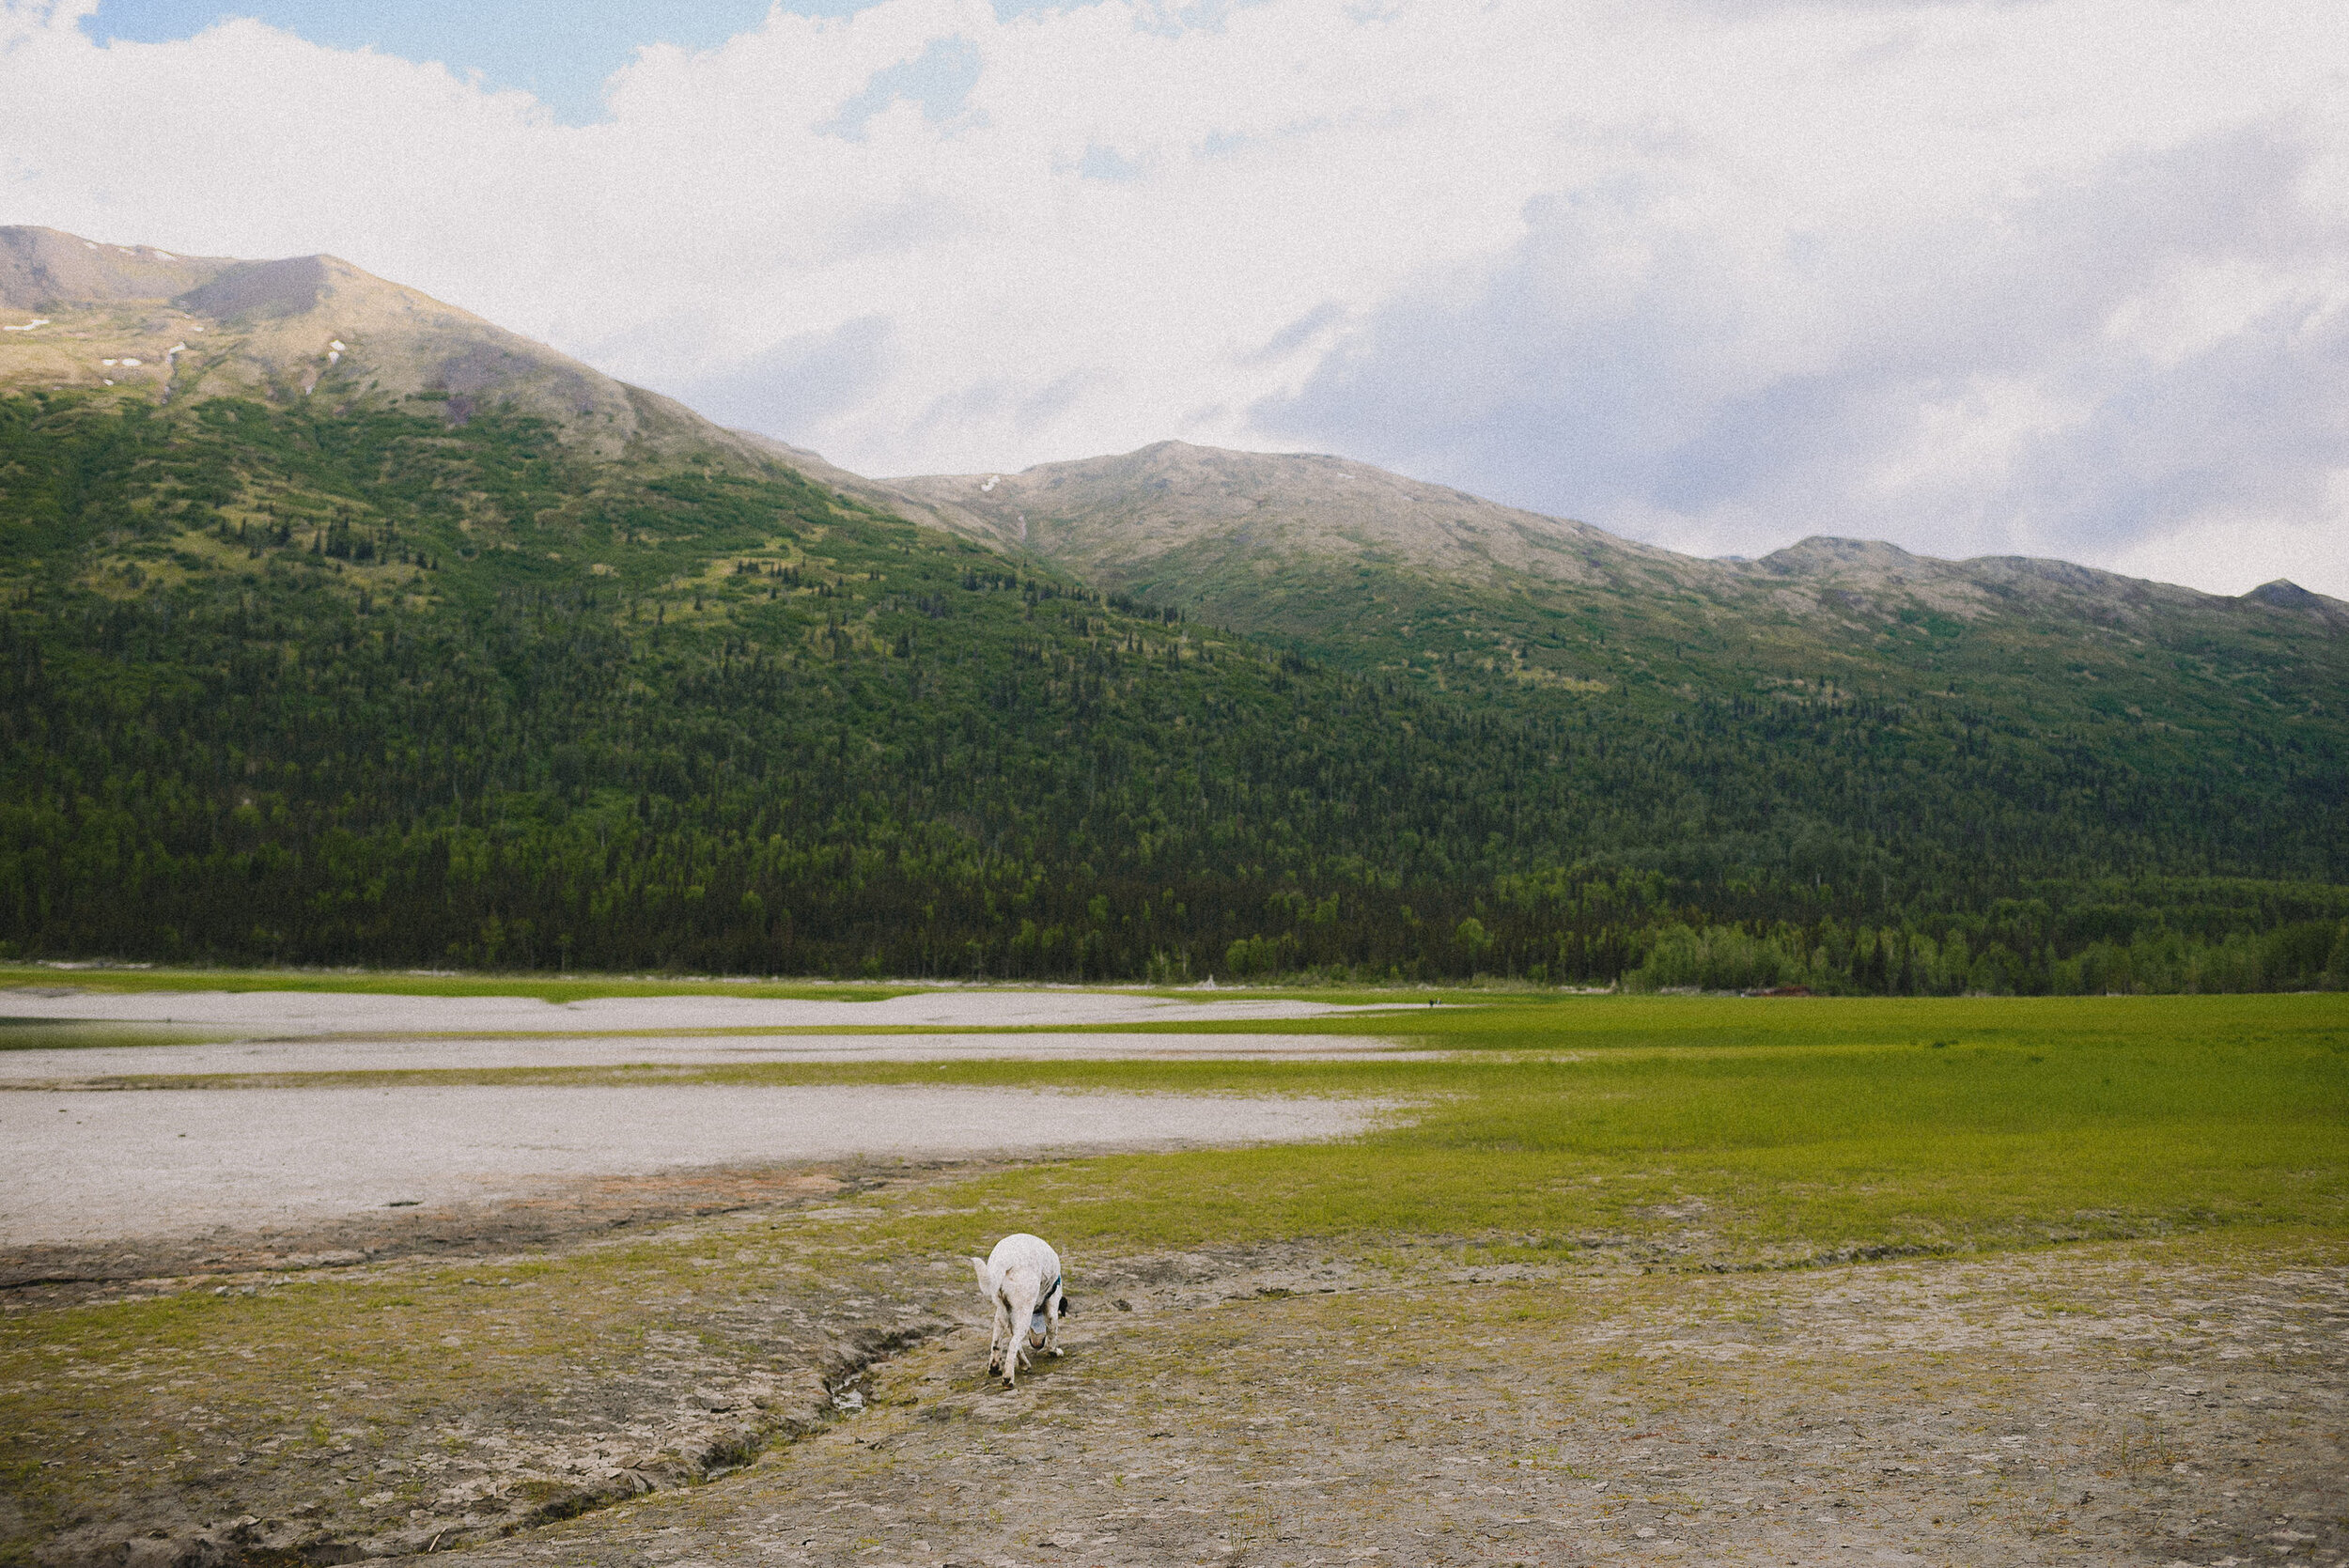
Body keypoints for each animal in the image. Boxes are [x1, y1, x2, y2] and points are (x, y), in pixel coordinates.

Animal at [968, 1230, 1071, 1389]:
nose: (1037, 1345)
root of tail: (1004, 1260)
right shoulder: (1052, 1307)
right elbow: (1052, 1333)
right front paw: (1055, 1352)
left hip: (1002, 1311)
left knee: (998, 1343)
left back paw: (1001, 1366)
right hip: (1023, 1311)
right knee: (1013, 1343)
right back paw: (1008, 1378)